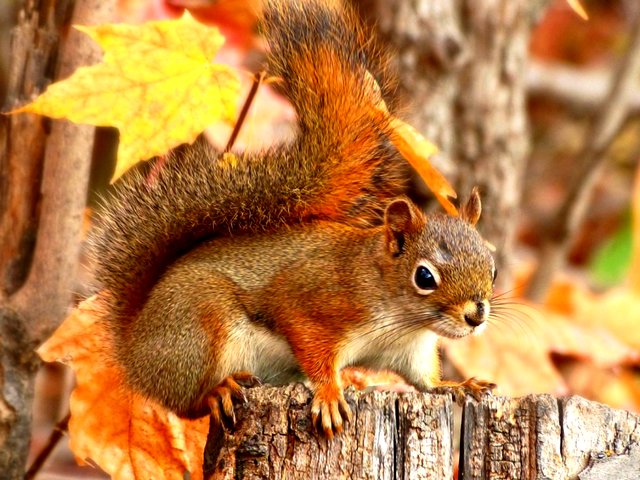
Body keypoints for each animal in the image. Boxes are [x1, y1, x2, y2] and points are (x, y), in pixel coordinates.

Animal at [88, 0, 497, 437]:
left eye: (492, 268)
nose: (475, 315)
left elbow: (425, 381)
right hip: (199, 328)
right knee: (186, 403)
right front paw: (330, 395)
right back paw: (218, 391)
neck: (400, 312)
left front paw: (458, 385)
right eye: (424, 276)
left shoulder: (411, 349)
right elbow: (312, 349)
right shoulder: (316, 302)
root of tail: (133, 347)